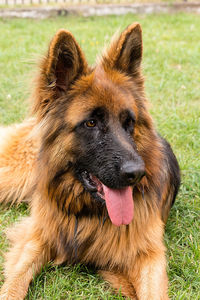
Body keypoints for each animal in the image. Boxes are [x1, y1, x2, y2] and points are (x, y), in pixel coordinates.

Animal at [0, 24, 180, 300]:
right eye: (91, 123)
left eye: (129, 122)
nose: (137, 173)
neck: (88, 212)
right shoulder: (36, 235)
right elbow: (16, 280)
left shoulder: (149, 254)